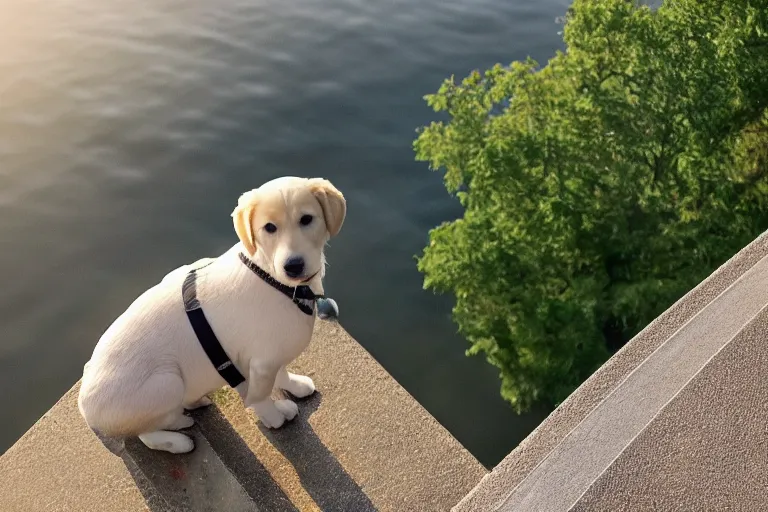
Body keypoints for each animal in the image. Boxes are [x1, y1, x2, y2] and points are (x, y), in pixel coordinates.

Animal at [77, 176, 344, 452]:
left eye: (307, 219)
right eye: (269, 227)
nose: (293, 266)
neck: (271, 278)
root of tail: (84, 404)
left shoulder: (269, 353)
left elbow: (282, 374)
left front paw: (296, 386)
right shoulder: (262, 362)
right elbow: (260, 397)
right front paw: (274, 416)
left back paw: (193, 404)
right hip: (167, 382)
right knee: (147, 434)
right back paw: (178, 436)